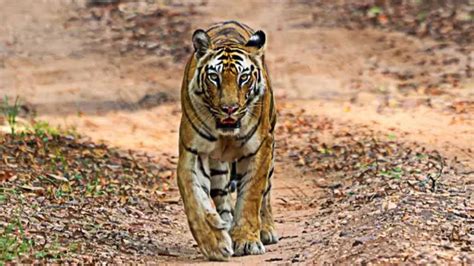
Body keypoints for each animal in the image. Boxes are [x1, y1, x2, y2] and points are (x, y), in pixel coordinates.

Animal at [178, 20, 278, 260]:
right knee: (222, 197)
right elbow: (194, 199)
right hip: (218, 166)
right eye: (215, 77)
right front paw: (215, 243)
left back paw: (266, 230)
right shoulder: (193, 152)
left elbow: (251, 195)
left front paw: (246, 241)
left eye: (243, 78)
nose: (229, 108)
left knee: (266, 193)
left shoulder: (260, 148)